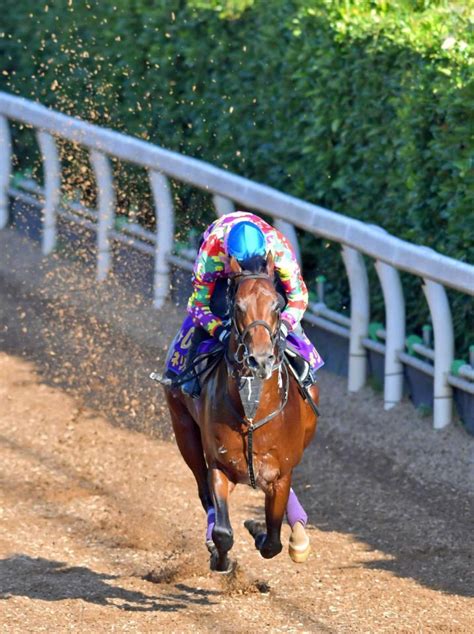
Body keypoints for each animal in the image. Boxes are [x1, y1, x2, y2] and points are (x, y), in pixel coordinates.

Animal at [162, 253, 318, 572]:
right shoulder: (220, 465)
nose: (260, 359)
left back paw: (298, 536)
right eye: (237, 306)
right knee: (203, 492)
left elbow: (272, 542)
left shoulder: (281, 473)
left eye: (277, 305)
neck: (252, 414)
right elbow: (223, 532)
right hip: (184, 430)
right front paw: (221, 558)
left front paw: (259, 529)